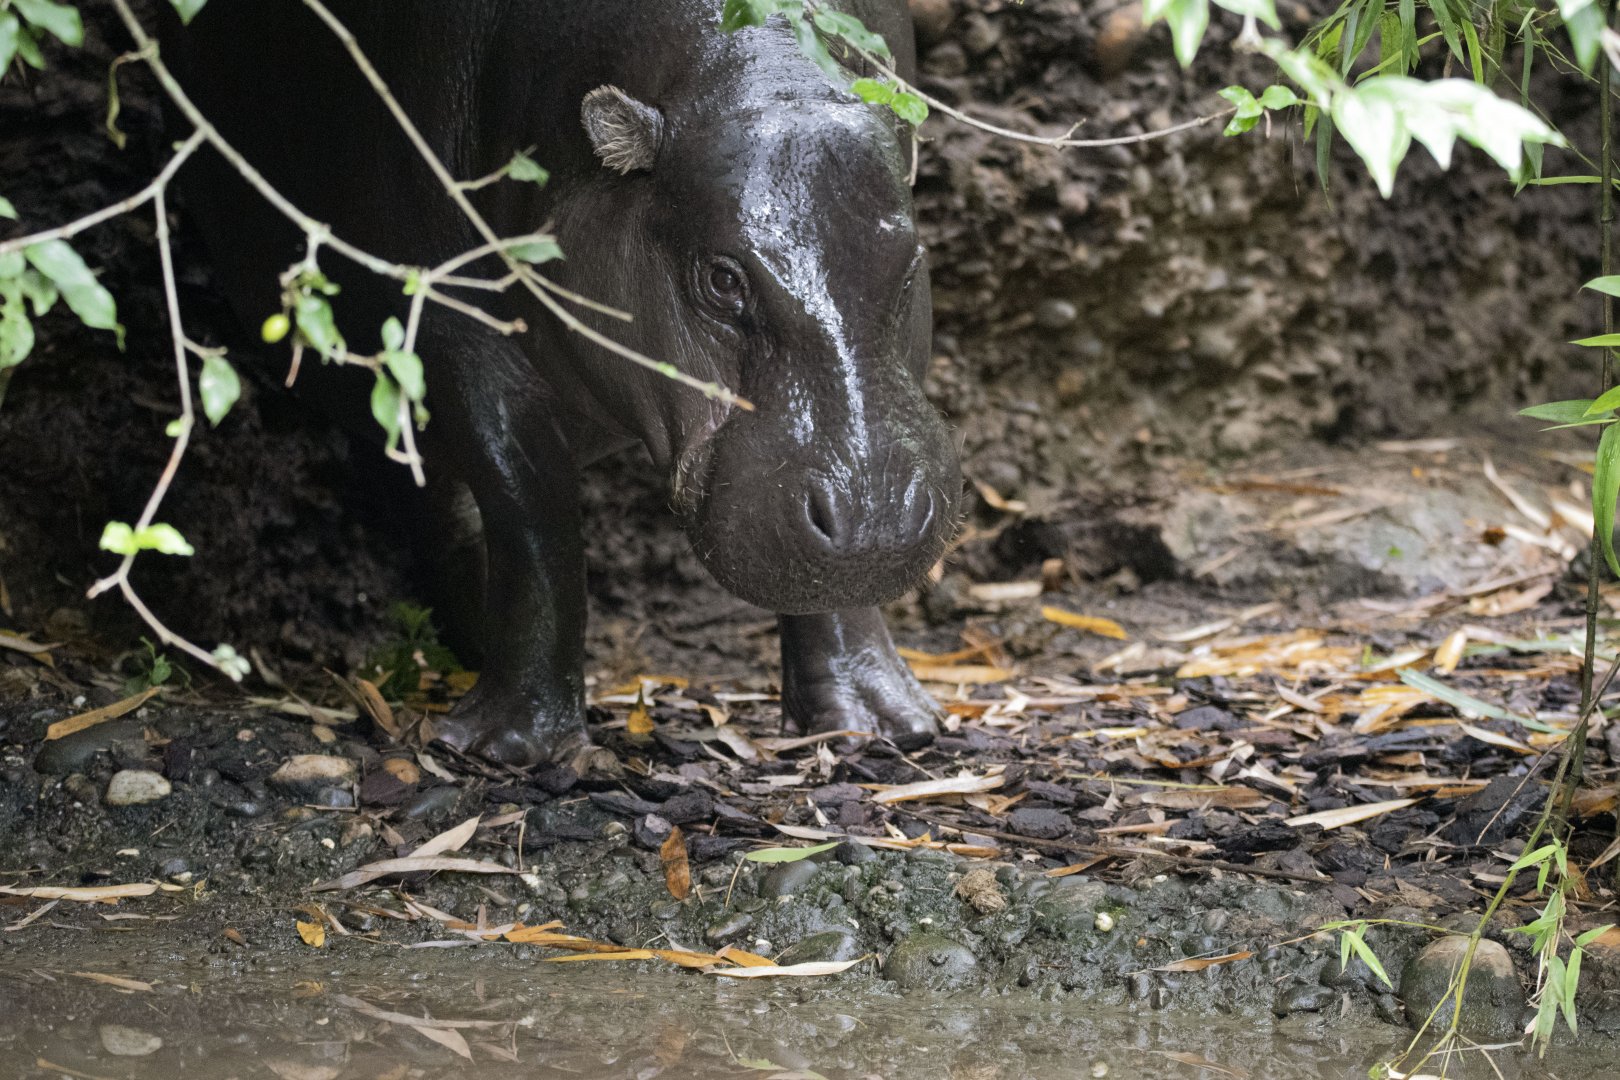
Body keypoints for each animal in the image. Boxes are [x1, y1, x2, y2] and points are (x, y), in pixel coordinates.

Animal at [168, 0, 962, 766]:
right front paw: (506, 748)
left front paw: (882, 725)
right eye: (721, 278)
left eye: (911, 262)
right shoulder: (457, 327)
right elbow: (533, 519)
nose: (875, 521)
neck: (757, 67)